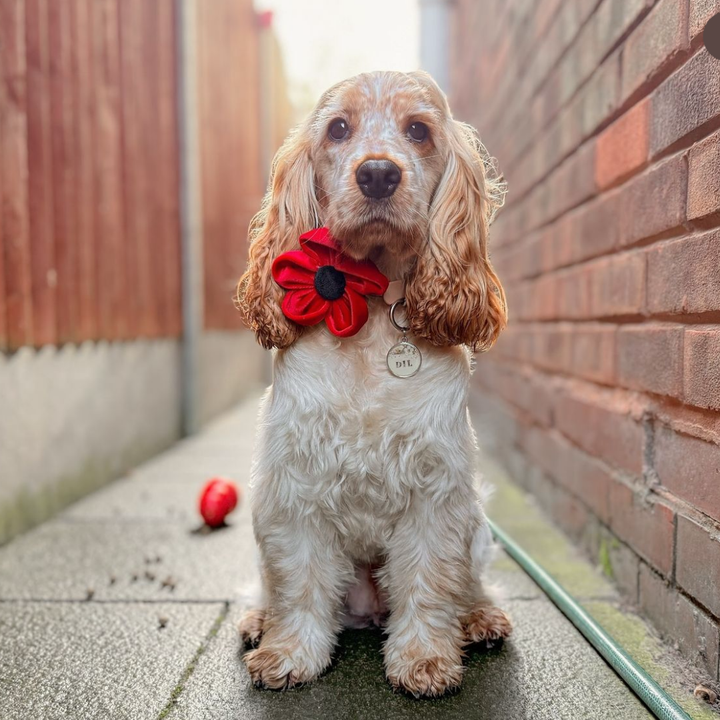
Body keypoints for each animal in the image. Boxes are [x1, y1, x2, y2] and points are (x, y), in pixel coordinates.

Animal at [236, 70, 512, 696]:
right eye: (339, 128)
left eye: (419, 130)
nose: (379, 173)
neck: (369, 311)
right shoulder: (294, 488)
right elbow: (299, 583)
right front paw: (287, 654)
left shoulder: (436, 492)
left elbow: (430, 582)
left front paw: (425, 660)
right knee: (269, 584)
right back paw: (256, 618)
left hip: (478, 526)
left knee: (471, 583)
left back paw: (480, 618)